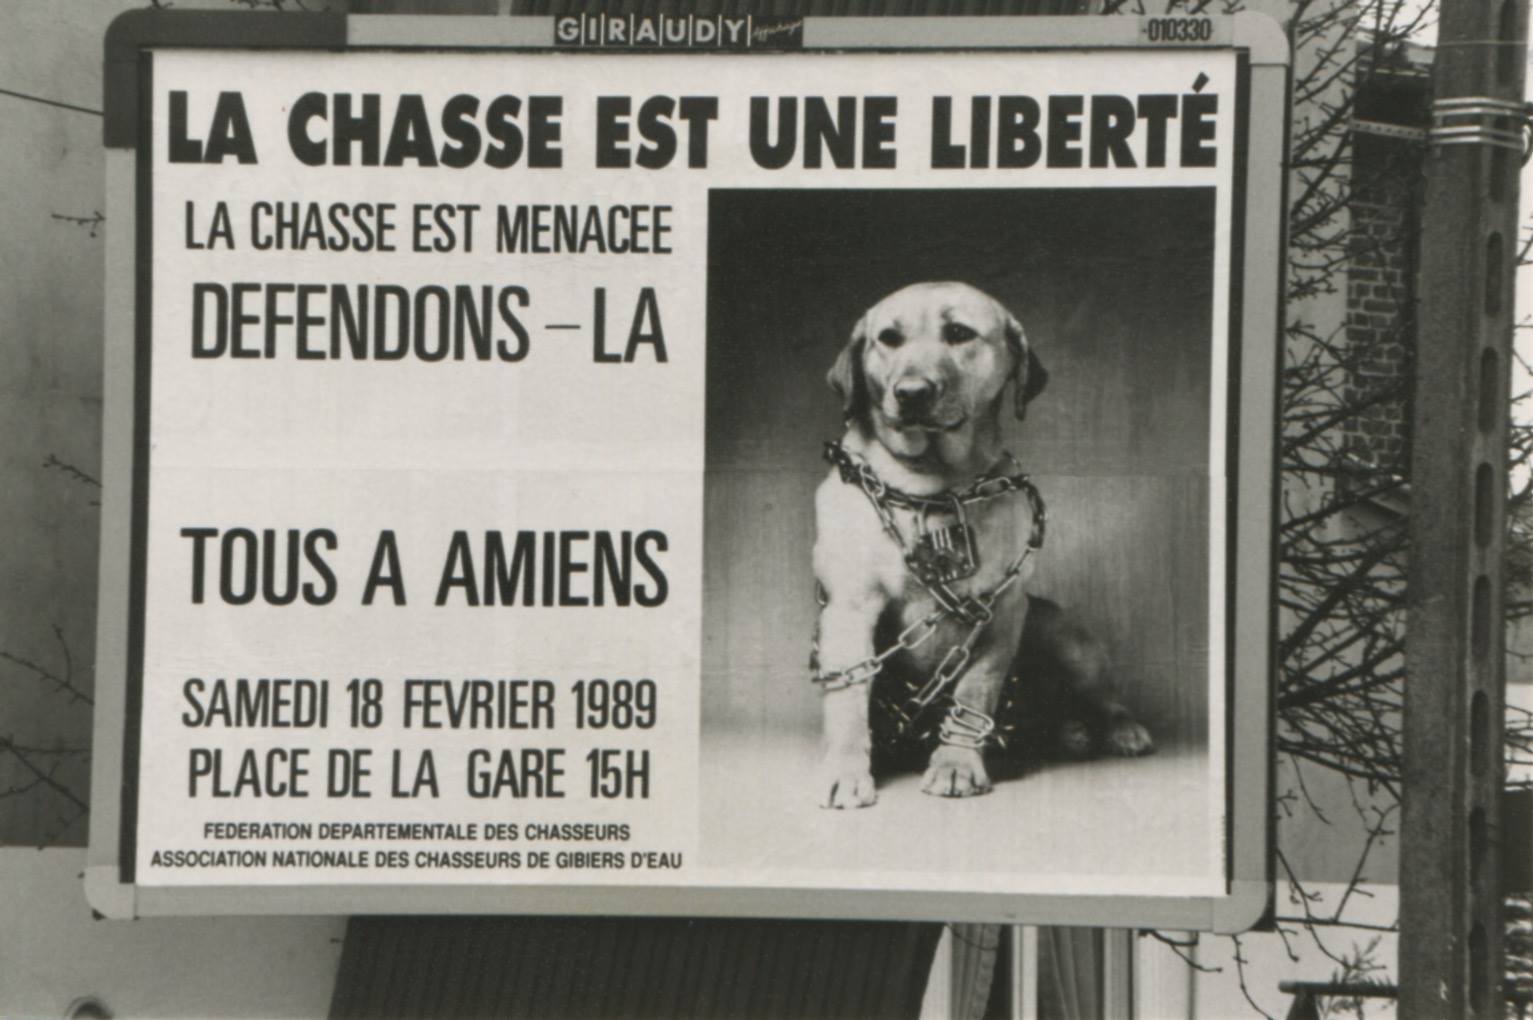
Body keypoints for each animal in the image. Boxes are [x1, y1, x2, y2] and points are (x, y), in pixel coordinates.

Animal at [815, 279, 1152, 803]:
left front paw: (957, 763)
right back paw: (1072, 732)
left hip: (1062, 632)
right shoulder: (850, 610)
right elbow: (848, 698)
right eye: (888, 338)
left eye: (959, 333)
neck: (930, 488)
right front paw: (845, 770)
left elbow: (976, 689)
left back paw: (1118, 729)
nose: (911, 393)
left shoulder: (1000, 613)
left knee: (1102, 695)